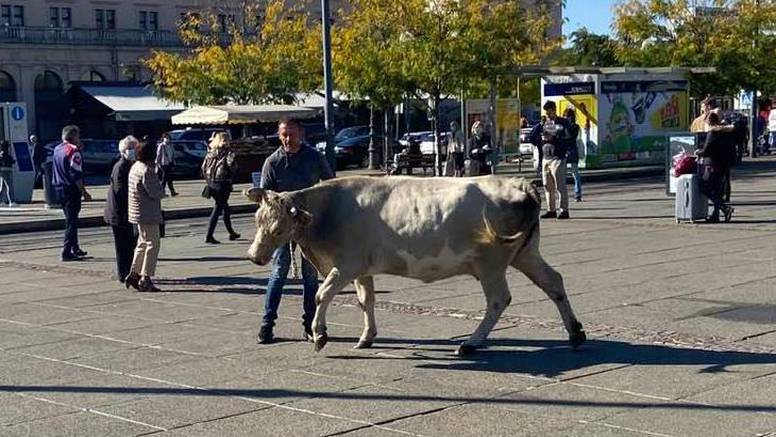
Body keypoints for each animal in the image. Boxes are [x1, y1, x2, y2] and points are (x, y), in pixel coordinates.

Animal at [246, 174, 584, 354]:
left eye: (278, 230)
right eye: (257, 220)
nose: (254, 257)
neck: (330, 210)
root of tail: (518, 182)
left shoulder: (346, 266)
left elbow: (321, 295)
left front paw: (319, 336)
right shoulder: (362, 269)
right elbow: (366, 301)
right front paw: (367, 337)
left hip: (491, 263)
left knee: (499, 300)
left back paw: (471, 343)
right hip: (526, 254)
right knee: (553, 282)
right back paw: (575, 333)